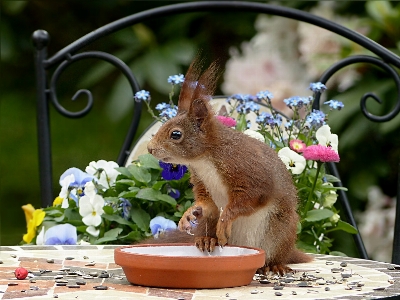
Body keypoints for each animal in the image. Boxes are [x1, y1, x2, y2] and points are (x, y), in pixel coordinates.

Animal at [147, 55, 312, 274]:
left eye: (175, 134)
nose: (150, 148)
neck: (205, 159)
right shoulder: (202, 180)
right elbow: (206, 203)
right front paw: (189, 213)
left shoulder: (247, 171)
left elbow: (249, 200)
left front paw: (225, 220)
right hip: (208, 223)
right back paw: (207, 240)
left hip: (281, 230)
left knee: (275, 256)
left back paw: (274, 265)